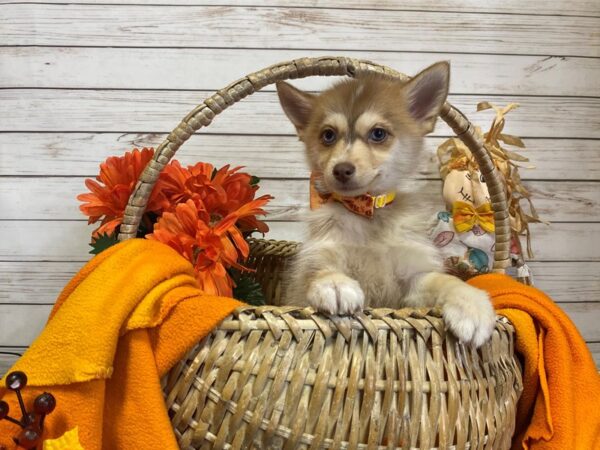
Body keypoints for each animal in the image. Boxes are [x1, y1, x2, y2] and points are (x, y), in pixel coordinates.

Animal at [274, 61, 494, 346]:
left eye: (378, 133)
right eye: (328, 135)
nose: (341, 169)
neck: (367, 214)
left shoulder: (412, 279)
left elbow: (445, 281)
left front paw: (472, 306)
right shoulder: (312, 266)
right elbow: (318, 272)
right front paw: (333, 283)